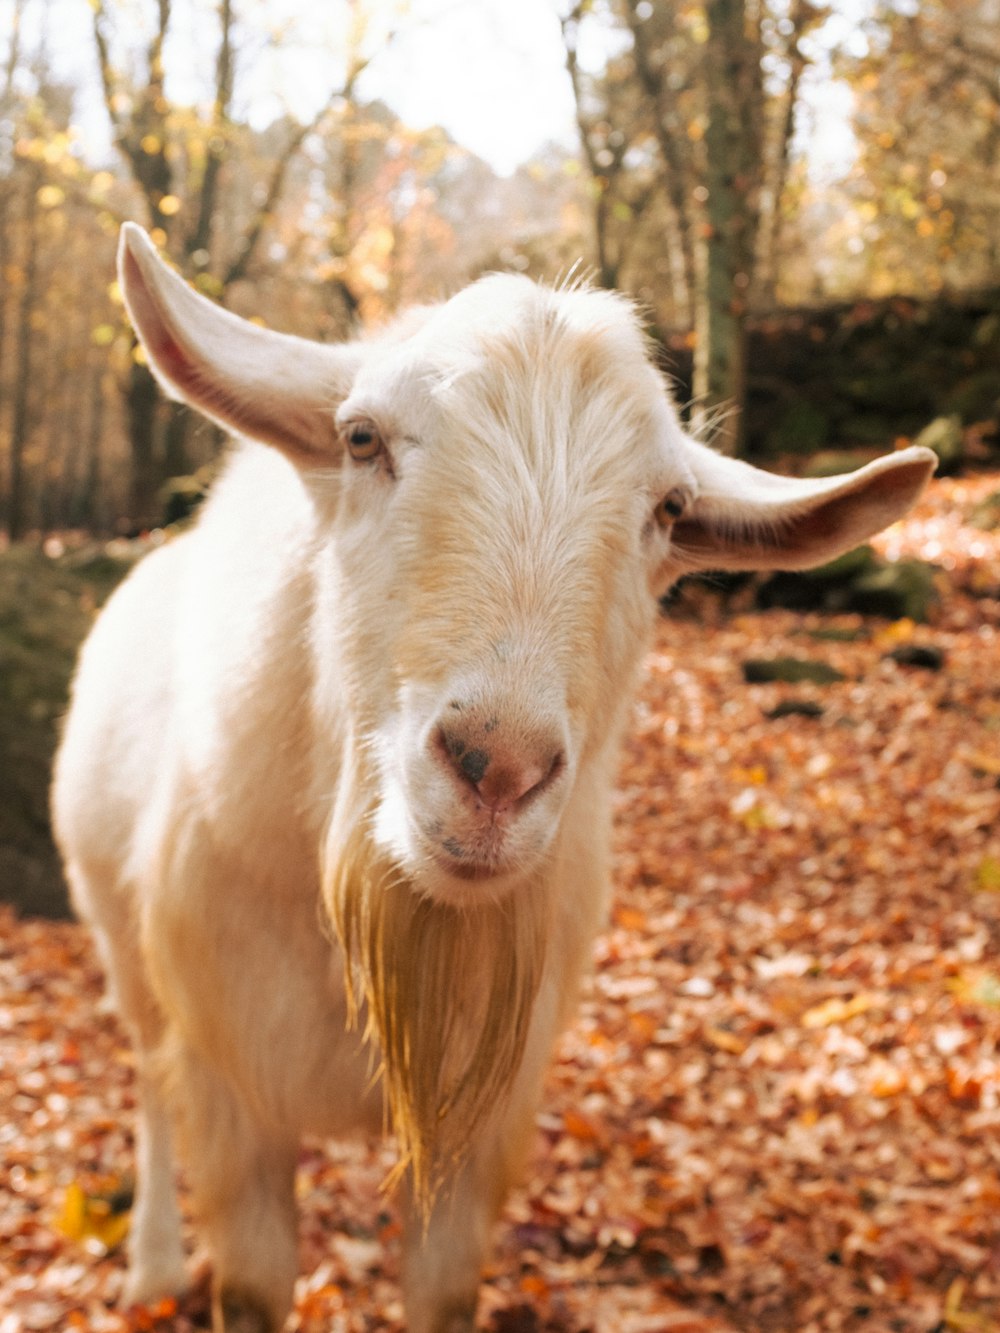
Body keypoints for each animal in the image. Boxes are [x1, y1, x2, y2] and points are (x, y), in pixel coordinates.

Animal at [53, 223, 933, 1327]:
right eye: (361, 439)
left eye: (669, 507)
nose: (497, 770)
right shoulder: (233, 1082)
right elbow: (246, 1265)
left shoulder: (483, 1120)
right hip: (122, 946)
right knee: (145, 1077)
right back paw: (154, 1264)